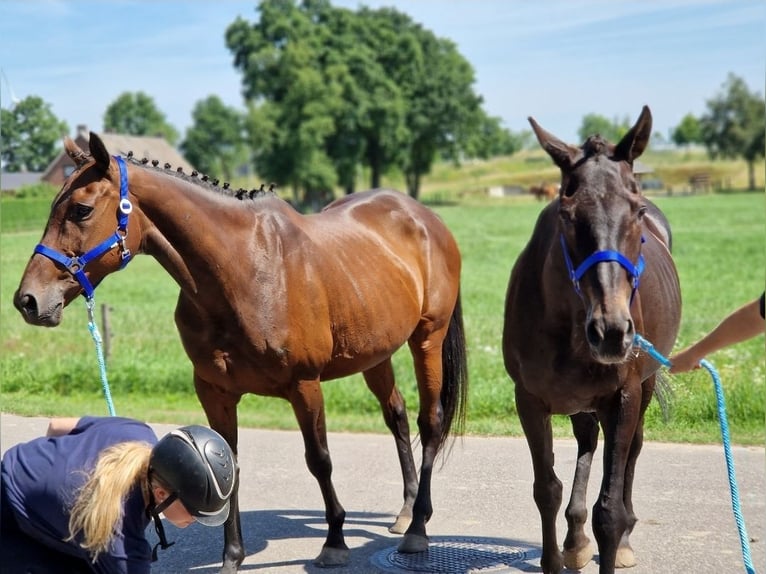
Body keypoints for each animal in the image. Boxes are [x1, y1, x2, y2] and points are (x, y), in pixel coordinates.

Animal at [13, 133, 468, 573]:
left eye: (81, 210)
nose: (28, 301)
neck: (246, 272)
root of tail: (423, 217)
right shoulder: (215, 391)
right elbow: (228, 462)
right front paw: (232, 556)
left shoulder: (305, 385)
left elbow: (319, 459)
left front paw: (335, 542)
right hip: (376, 354)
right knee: (397, 415)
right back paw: (405, 511)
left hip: (427, 339)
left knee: (430, 421)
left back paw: (418, 528)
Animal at [502, 106, 681, 574]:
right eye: (566, 212)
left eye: (636, 209)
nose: (612, 332)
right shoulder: (529, 400)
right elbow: (546, 489)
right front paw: (561, 550)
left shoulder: (623, 396)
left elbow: (610, 512)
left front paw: (615, 536)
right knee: (586, 441)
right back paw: (576, 538)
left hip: (643, 388)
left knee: (631, 452)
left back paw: (624, 541)